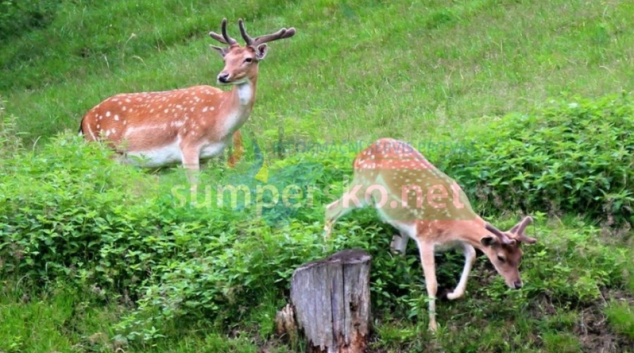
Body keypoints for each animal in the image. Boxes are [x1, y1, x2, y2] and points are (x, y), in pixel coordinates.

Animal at [79, 17, 294, 179]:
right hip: (106, 150)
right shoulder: (188, 143)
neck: (220, 121)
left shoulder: (208, 156)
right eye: (226, 59)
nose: (223, 76)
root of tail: (84, 120)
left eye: (248, 59)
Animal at [324, 137, 536, 330]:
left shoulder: (454, 241)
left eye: (520, 256)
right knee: (330, 209)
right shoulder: (425, 237)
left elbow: (472, 254)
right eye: (501, 257)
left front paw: (452, 294)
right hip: (362, 185)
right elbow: (432, 283)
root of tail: (360, 154)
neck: (453, 221)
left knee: (397, 249)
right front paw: (433, 327)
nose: (517, 284)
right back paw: (326, 249)